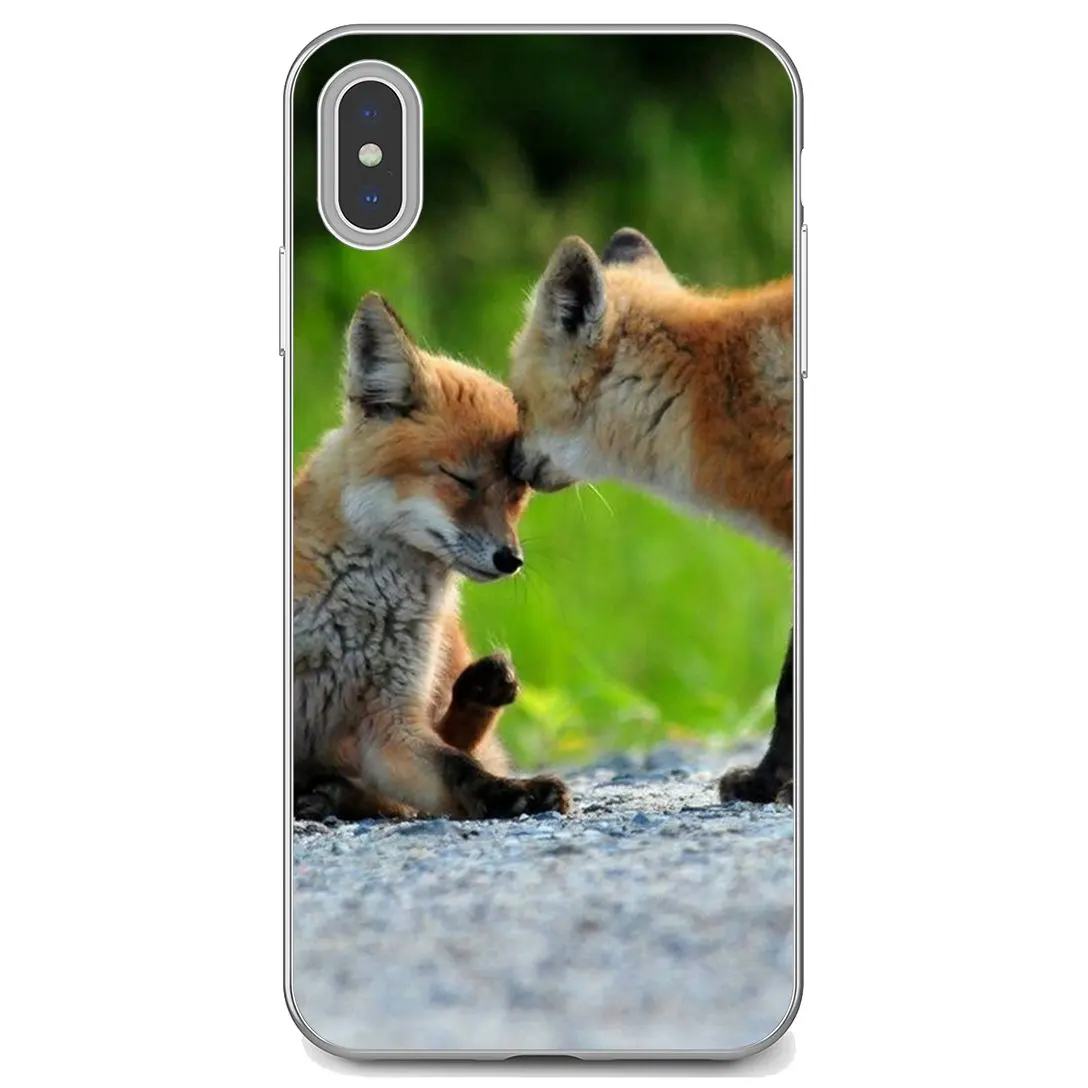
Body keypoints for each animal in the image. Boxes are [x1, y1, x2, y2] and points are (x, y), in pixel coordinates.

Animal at [293, 292, 571, 821]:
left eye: (518, 492)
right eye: (461, 479)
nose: (511, 560)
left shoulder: (389, 717)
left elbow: (458, 768)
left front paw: (509, 792)